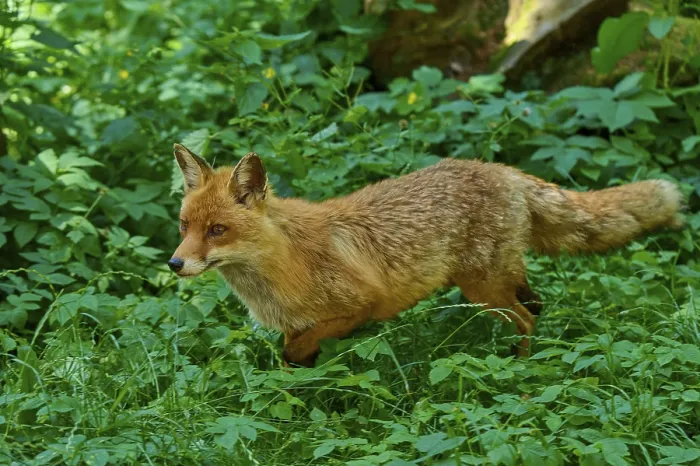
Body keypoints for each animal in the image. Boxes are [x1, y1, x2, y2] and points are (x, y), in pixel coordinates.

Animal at [168, 143, 684, 367]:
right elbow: (293, 359)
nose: (174, 264)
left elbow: (296, 349)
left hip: (481, 289)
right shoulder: (301, 323)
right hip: (495, 277)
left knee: (526, 320)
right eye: (184, 226)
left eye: (217, 230)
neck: (282, 265)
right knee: (535, 300)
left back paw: (519, 367)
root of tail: (502, 170)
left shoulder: (359, 306)